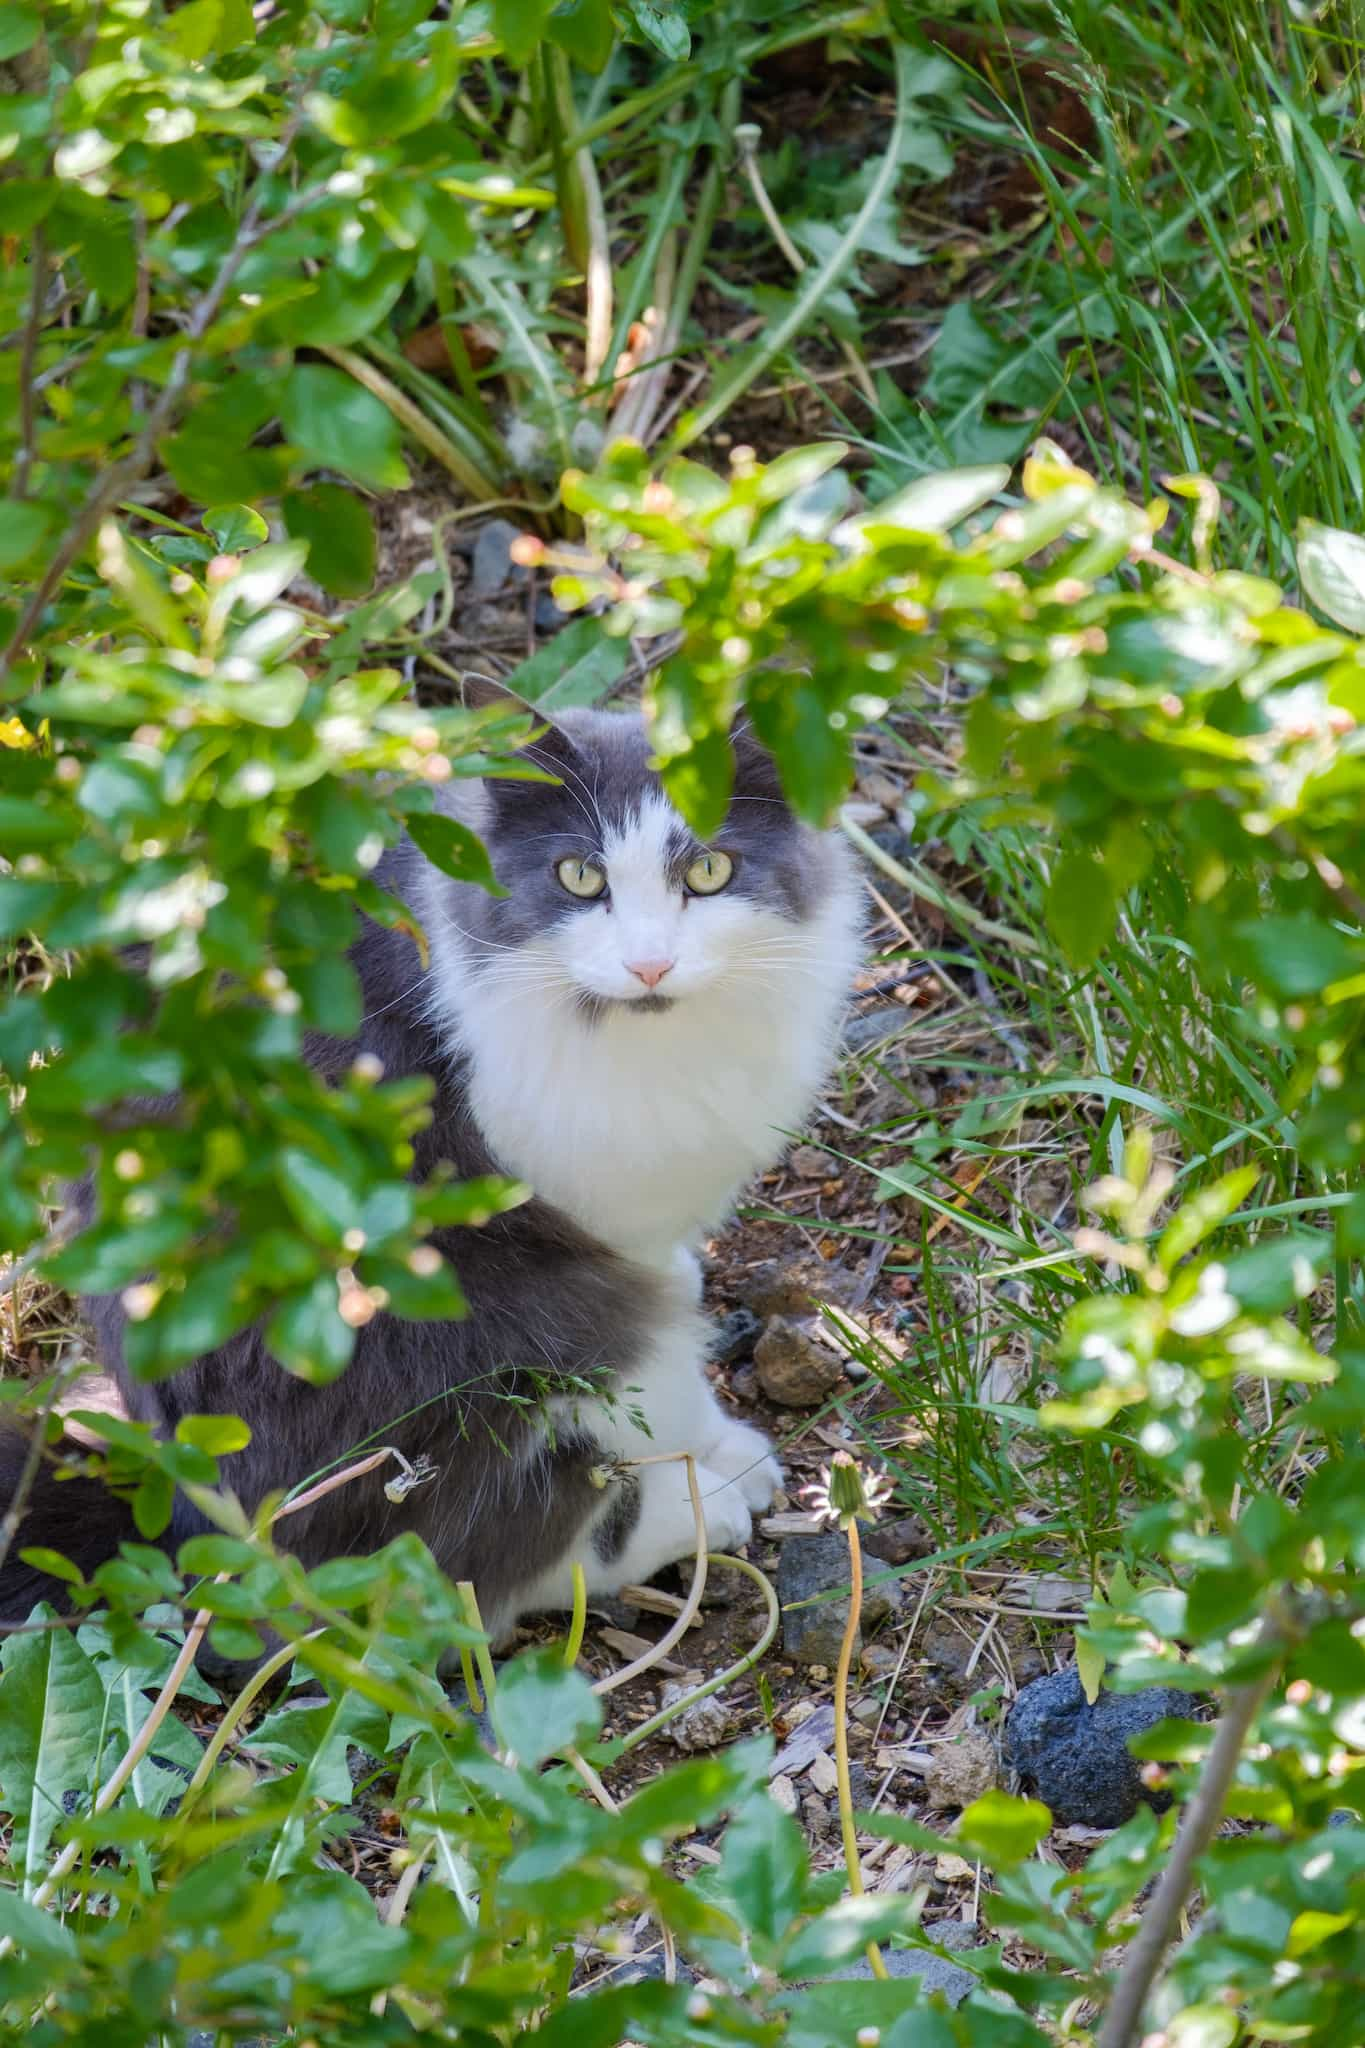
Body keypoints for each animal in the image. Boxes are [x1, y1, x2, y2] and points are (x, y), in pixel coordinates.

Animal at [0, 708, 863, 1646]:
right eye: (578, 876)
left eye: (709, 870)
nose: (649, 965)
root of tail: (197, 1520)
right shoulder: (588, 1206)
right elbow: (663, 1339)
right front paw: (717, 1444)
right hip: (504, 1334)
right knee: (482, 1569)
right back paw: (702, 1502)